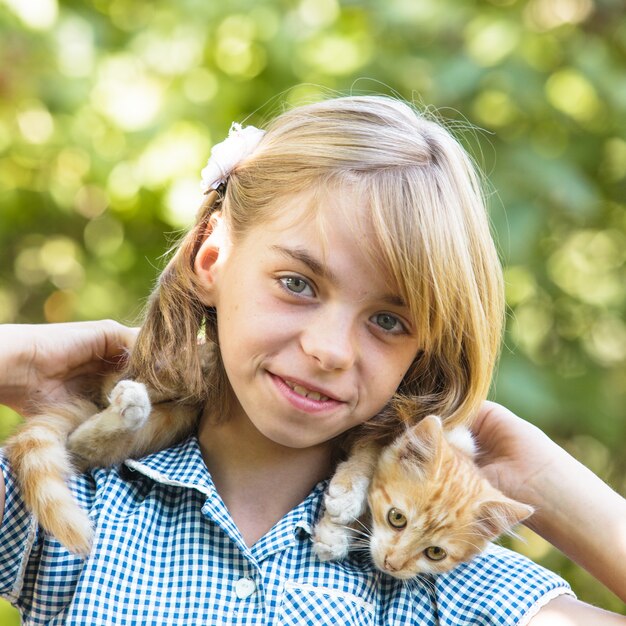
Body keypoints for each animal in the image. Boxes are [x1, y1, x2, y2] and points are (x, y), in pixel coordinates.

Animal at [312, 412, 532, 576]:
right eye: (397, 518)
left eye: (435, 552)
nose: (391, 564)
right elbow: (372, 447)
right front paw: (348, 494)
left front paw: (337, 533)